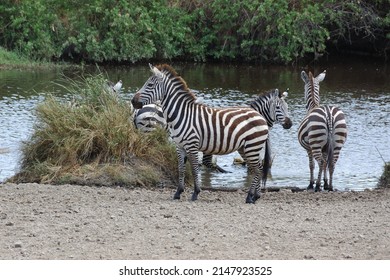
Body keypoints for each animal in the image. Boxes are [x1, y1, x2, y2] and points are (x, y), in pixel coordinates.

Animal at [131, 63, 272, 203]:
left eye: (150, 85)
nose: (132, 101)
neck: (182, 115)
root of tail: (259, 115)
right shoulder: (179, 146)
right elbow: (181, 169)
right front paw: (178, 192)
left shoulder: (192, 145)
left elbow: (194, 169)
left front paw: (195, 193)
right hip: (246, 148)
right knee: (257, 168)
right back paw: (255, 196)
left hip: (252, 146)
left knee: (257, 169)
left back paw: (250, 196)